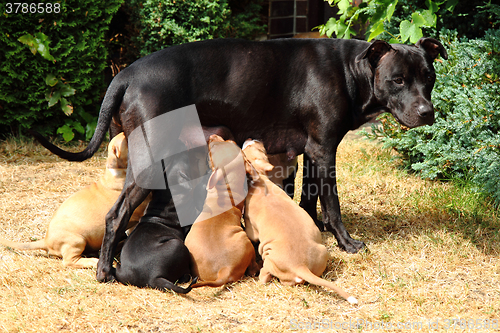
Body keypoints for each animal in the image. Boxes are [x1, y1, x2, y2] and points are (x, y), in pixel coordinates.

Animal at [0, 132, 147, 268]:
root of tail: (46, 240)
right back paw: (93, 261)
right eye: (127, 139)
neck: (116, 173)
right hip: (77, 240)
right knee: (70, 261)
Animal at [241, 139, 356, 304]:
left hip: (269, 258)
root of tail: (301, 266)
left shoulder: (251, 228)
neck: (260, 180)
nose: (255, 139)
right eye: (262, 150)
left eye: (246, 149)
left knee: (266, 274)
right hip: (322, 251)